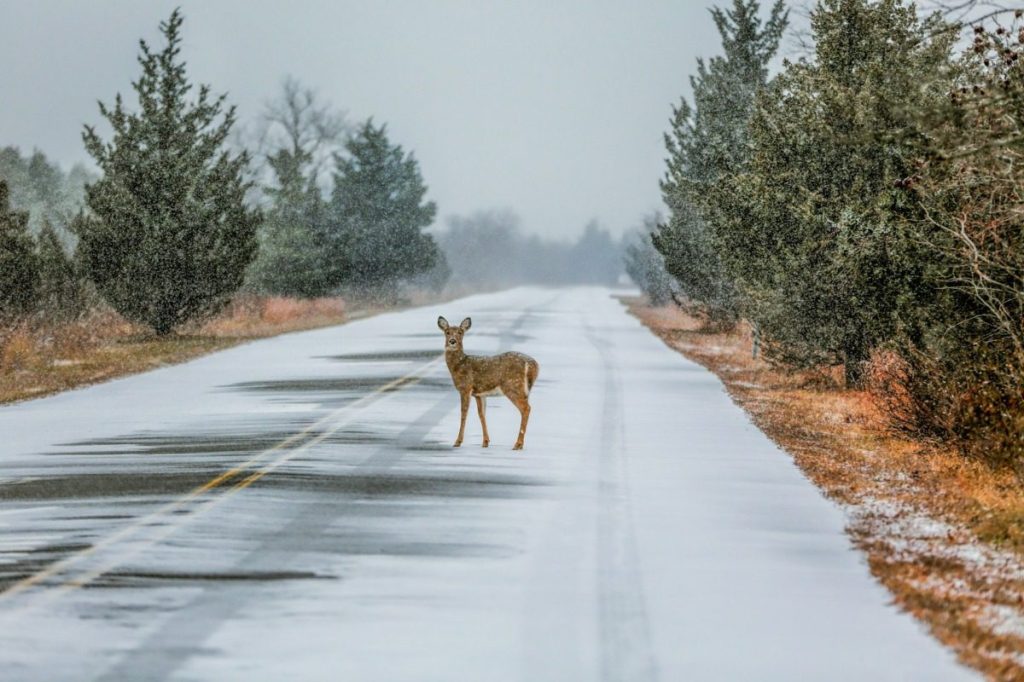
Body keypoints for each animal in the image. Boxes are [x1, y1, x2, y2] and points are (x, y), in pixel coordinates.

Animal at [437, 316, 539, 450]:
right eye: (447, 332)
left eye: (460, 332)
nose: (452, 341)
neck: (459, 366)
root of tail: (532, 365)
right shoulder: (479, 394)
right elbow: (482, 414)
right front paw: (485, 441)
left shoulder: (465, 388)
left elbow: (464, 413)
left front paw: (458, 441)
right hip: (521, 389)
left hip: (512, 386)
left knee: (526, 408)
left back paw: (518, 444)